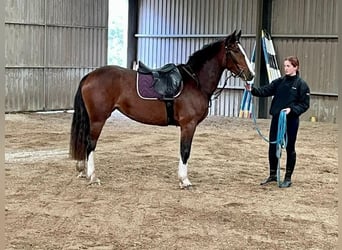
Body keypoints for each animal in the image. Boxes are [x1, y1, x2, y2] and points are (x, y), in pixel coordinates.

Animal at [69, 29, 254, 188]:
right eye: (236, 50)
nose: (251, 75)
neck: (194, 81)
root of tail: (89, 76)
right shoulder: (188, 125)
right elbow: (185, 151)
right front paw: (184, 180)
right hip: (98, 119)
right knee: (90, 143)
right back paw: (93, 176)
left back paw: (83, 171)